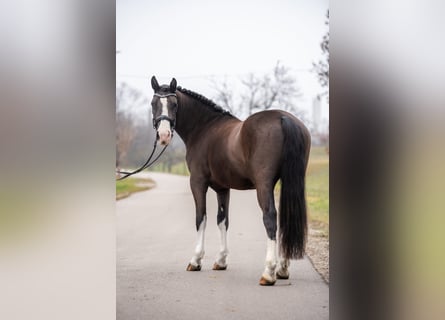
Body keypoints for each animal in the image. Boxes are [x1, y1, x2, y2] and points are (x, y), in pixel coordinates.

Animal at [149, 76, 308, 286]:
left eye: (174, 104)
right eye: (153, 103)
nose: (164, 135)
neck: (204, 128)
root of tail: (284, 118)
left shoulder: (197, 182)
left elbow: (201, 218)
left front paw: (196, 260)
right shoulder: (223, 188)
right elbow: (222, 220)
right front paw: (221, 260)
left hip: (264, 185)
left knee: (270, 218)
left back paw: (268, 272)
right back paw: (282, 269)